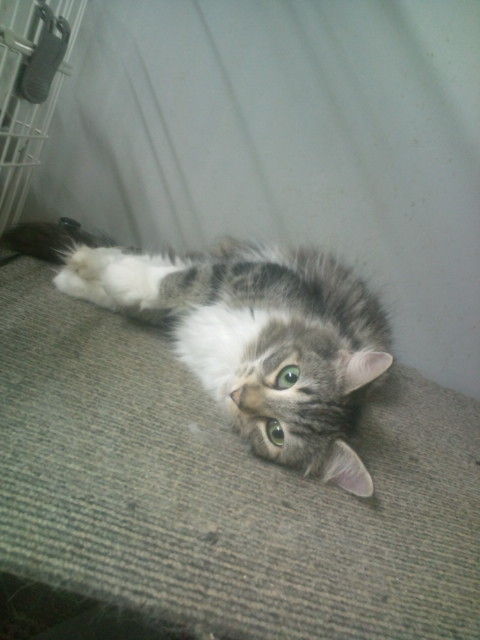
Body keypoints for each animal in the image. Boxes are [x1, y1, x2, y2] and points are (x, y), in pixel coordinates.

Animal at [2, 220, 393, 498]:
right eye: (289, 376)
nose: (239, 395)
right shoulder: (250, 273)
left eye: (276, 433)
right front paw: (95, 273)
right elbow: (170, 280)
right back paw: (87, 255)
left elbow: (145, 296)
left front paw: (82, 281)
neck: (231, 356)